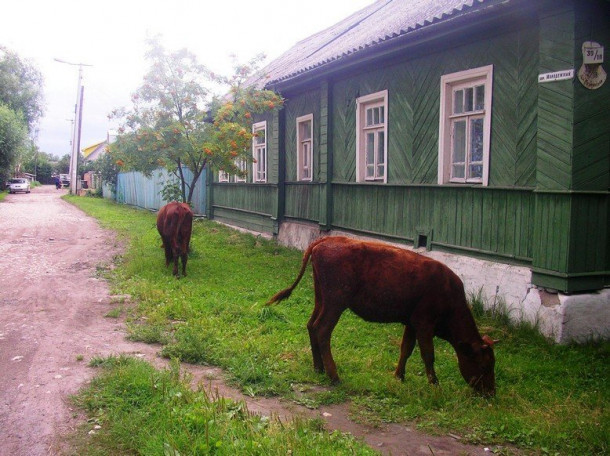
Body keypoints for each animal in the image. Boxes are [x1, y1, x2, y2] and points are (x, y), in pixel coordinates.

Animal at [268, 237, 496, 394]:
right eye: (485, 365)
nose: (491, 393)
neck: (449, 294)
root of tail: (325, 240)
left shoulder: (411, 322)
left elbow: (406, 349)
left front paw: (399, 377)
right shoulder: (425, 323)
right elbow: (428, 354)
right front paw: (434, 385)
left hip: (322, 299)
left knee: (311, 324)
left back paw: (319, 368)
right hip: (335, 302)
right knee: (322, 329)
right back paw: (334, 375)